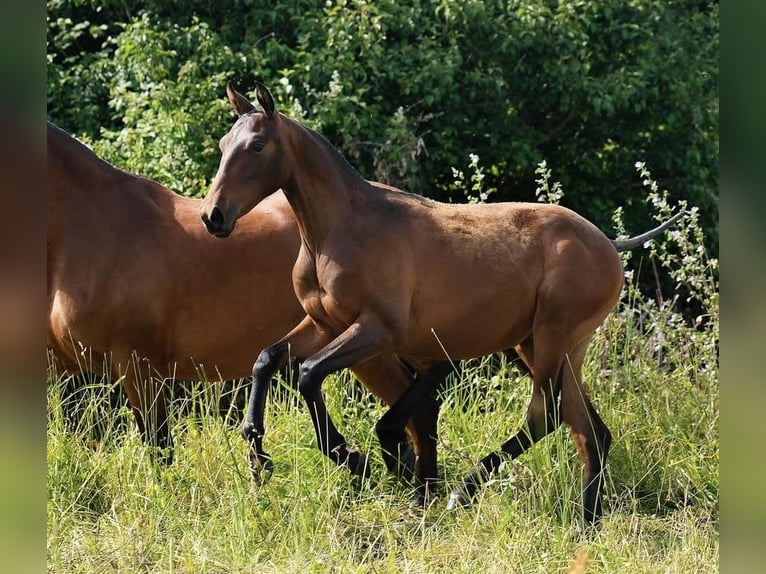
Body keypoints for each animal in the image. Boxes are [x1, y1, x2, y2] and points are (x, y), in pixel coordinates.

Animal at [201, 82, 688, 528]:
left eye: (257, 145)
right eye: (224, 145)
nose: (213, 216)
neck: (340, 230)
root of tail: (608, 243)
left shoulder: (377, 330)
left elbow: (308, 375)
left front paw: (354, 460)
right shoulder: (324, 322)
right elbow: (267, 359)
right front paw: (258, 454)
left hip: (552, 339)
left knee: (546, 414)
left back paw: (465, 491)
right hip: (541, 346)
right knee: (589, 431)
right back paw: (586, 523)